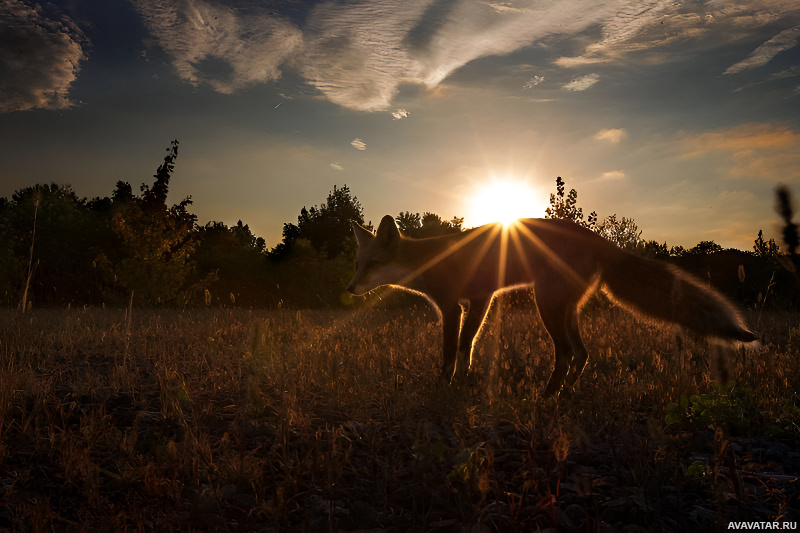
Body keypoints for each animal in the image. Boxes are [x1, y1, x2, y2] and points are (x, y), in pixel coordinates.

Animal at [346, 215, 756, 394]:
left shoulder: (453, 306)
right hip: (566, 310)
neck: (429, 258)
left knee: (566, 353)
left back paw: (547, 395)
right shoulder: (478, 300)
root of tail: (597, 240)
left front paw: (444, 385)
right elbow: (468, 347)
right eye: (356, 263)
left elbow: (453, 350)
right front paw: (463, 381)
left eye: (372, 265)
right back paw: (566, 393)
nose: (349, 288)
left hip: (547, 306)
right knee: (583, 354)